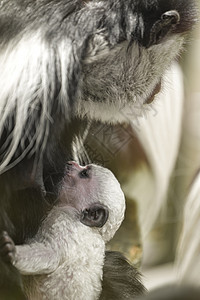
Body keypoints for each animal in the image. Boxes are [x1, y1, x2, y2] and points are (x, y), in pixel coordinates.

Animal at [0, 163, 126, 298]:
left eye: (84, 174)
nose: (71, 163)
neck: (93, 230)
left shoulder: (66, 223)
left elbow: (51, 254)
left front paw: (12, 252)